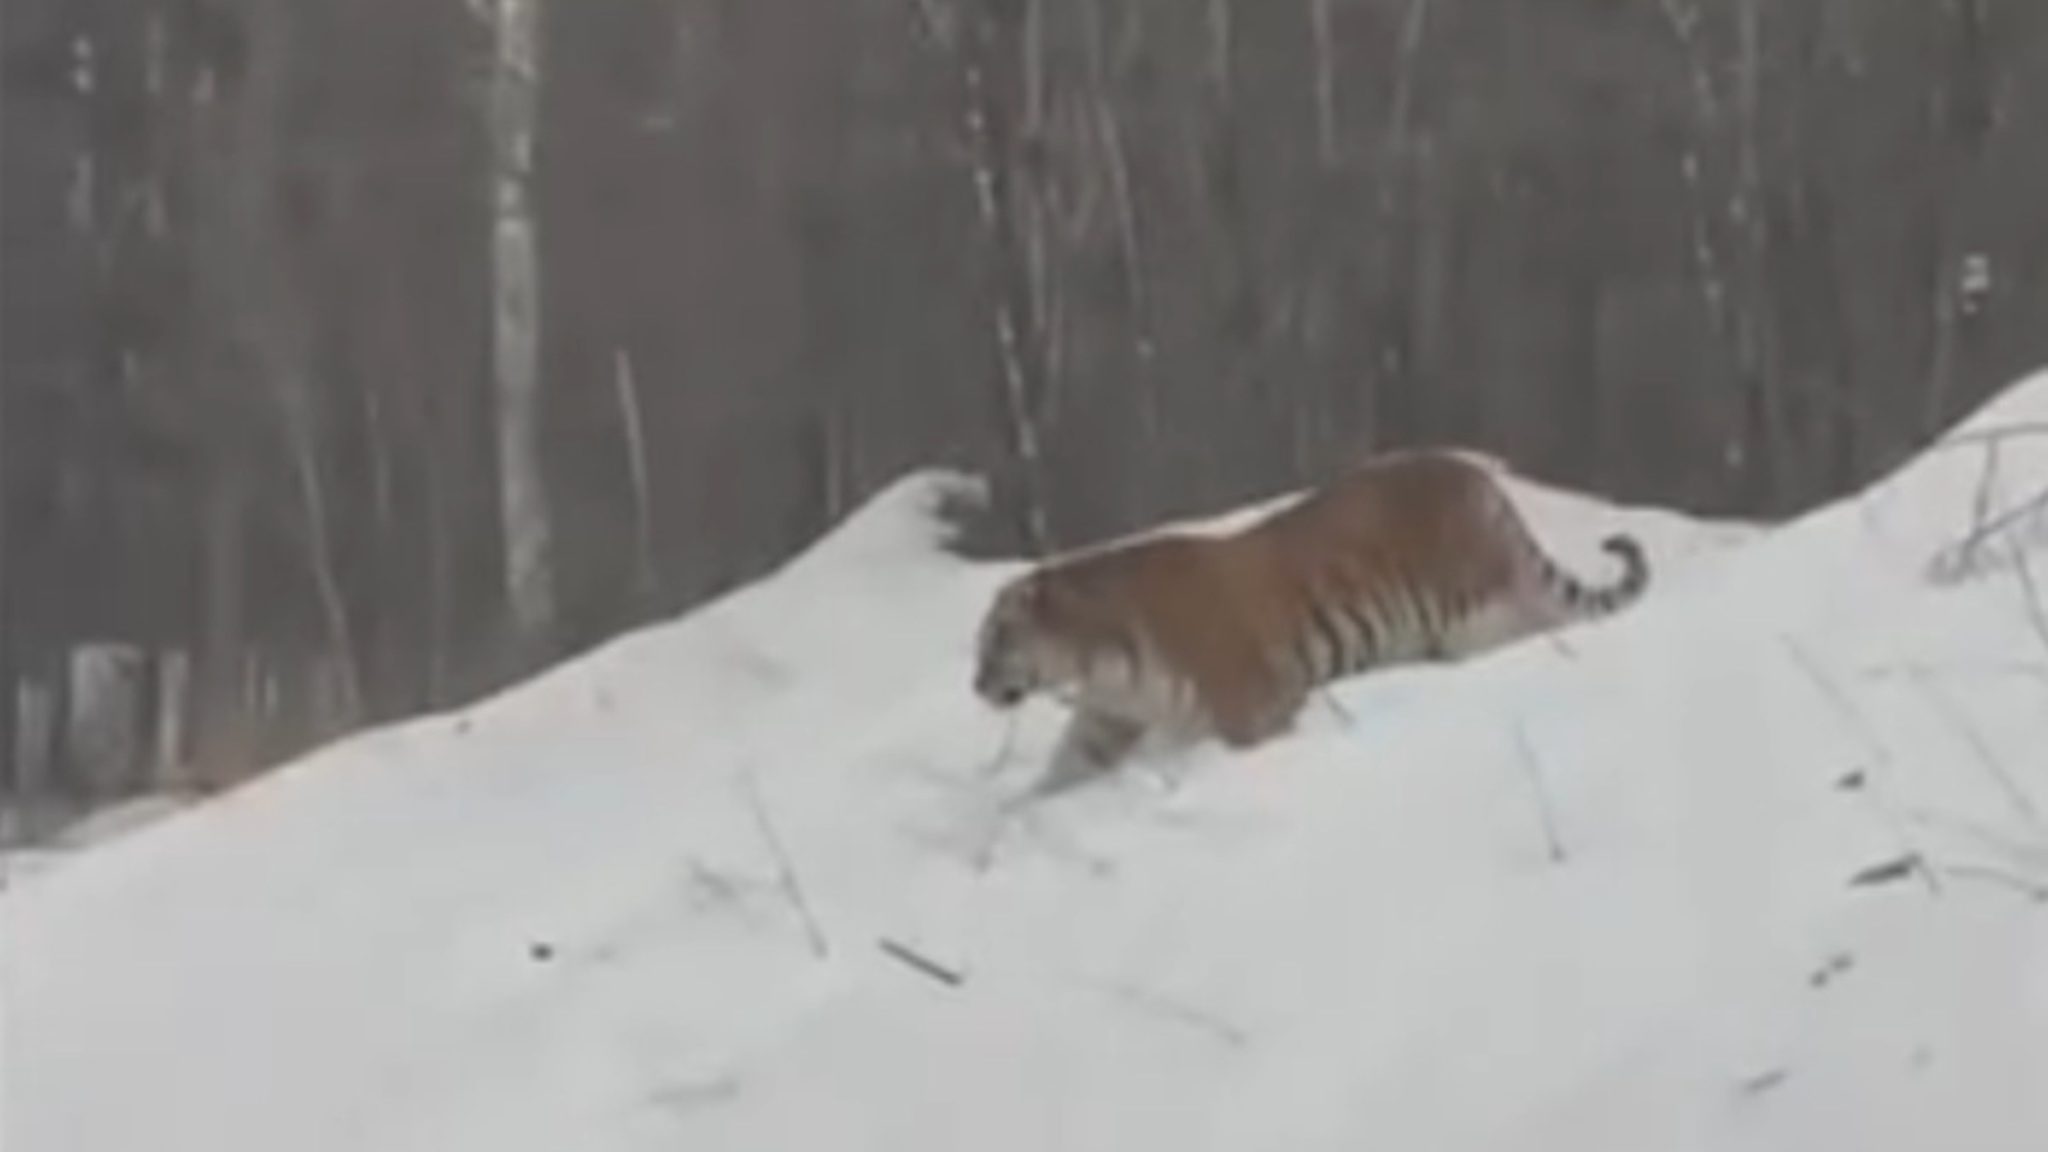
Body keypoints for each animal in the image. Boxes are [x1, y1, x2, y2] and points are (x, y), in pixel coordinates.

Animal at [971, 447, 1650, 796]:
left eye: (997, 639)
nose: (976, 686)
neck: (1096, 658)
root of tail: (1470, 469)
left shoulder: (1250, 703)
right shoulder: (1107, 720)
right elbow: (1060, 772)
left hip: (1478, 610)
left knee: (1537, 624)